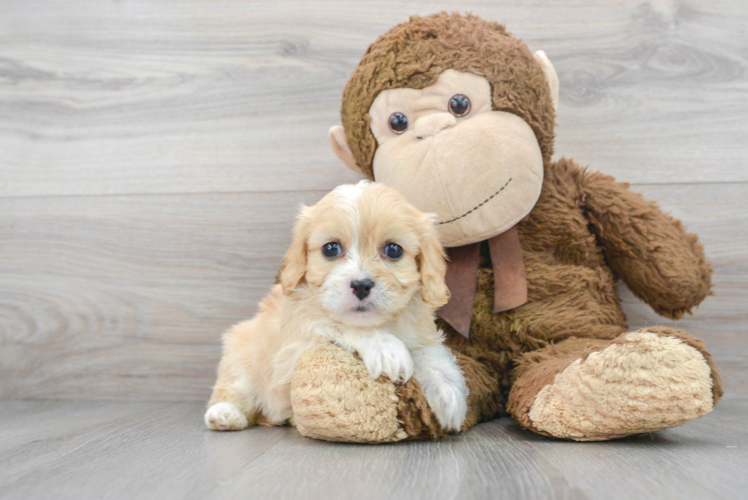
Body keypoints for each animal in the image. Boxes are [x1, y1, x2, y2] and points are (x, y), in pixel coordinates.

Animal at [205, 181, 468, 434]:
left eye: (394, 250)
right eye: (330, 249)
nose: (361, 285)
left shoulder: (420, 329)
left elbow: (429, 351)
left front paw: (448, 390)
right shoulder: (293, 347)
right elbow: (335, 324)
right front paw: (386, 348)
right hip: (241, 357)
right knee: (233, 391)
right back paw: (225, 414)